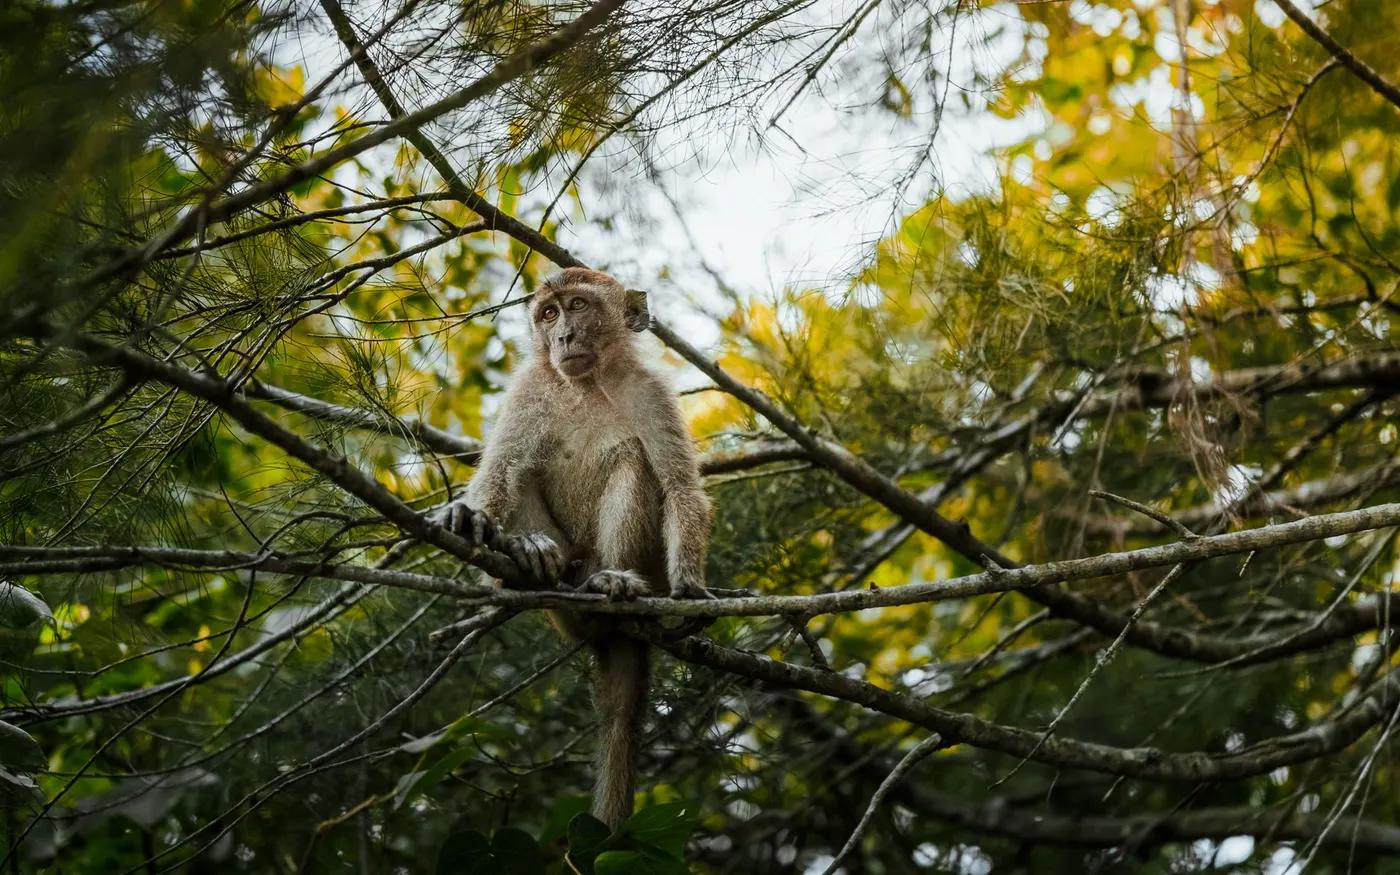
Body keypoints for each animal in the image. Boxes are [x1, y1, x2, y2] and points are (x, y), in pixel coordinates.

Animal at [439, 267, 712, 829]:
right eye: (548, 314)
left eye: (579, 306)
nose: (563, 336)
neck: (586, 385)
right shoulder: (530, 388)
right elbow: (502, 468)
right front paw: (471, 517)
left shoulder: (651, 393)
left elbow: (678, 486)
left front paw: (690, 588)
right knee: (524, 468)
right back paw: (528, 555)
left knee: (633, 460)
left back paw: (613, 582)